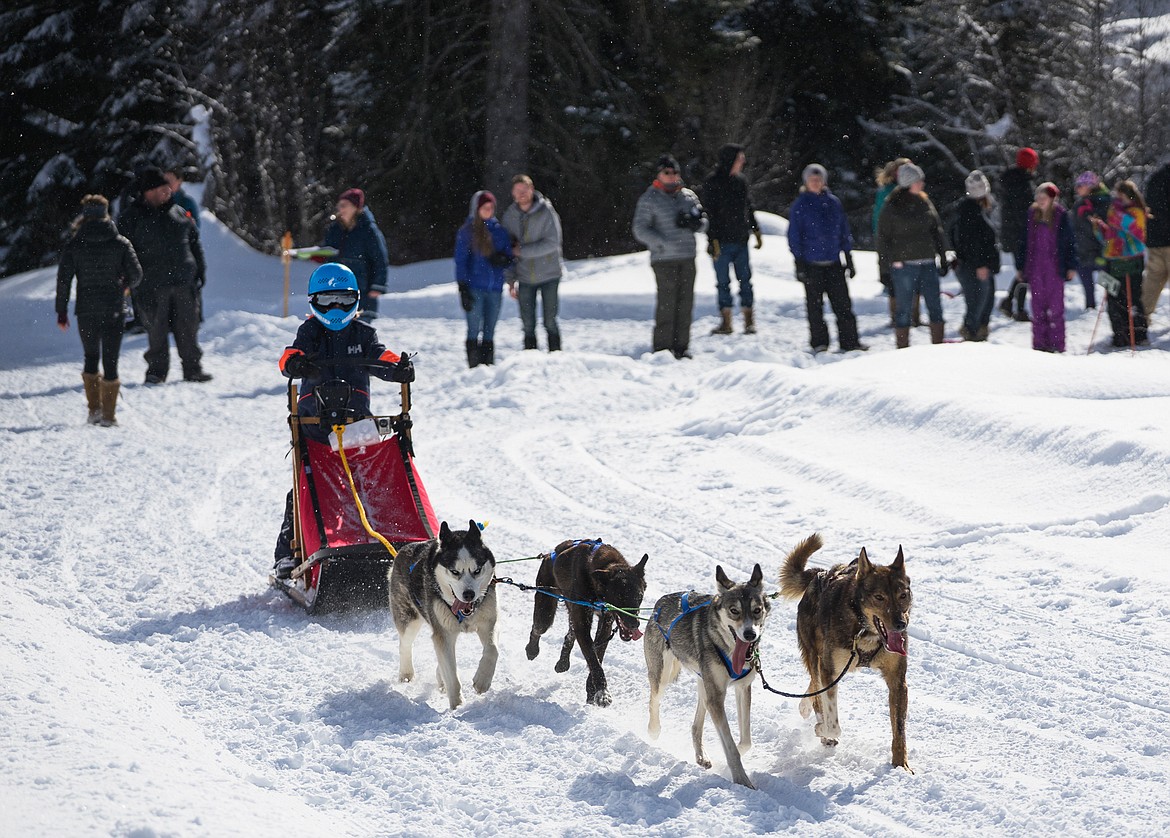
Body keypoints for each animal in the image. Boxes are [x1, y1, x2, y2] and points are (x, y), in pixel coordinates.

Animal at [528, 536, 650, 706]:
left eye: (639, 596)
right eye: (619, 597)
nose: (634, 624)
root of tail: (550, 554)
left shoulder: (605, 623)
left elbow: (598, 654)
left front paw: (592, 690)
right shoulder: (583, 624)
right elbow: (593, 659)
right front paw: (602, 692)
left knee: (570, 634)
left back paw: (563, 662)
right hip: (546, 610)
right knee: (538, 628)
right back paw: (532, 649)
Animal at [781, 533, 917, 767]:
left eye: (903, 595)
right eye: (879, 597)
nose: (901, 624)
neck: (864, 630)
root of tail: (819, 575)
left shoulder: (897, 681)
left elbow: (899, 730)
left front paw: (901, 766)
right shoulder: (829, 671)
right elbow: (833, 723)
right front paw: (823, 730)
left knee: (813, 688)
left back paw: (804, 706)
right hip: (816, 656)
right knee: (816, 690)